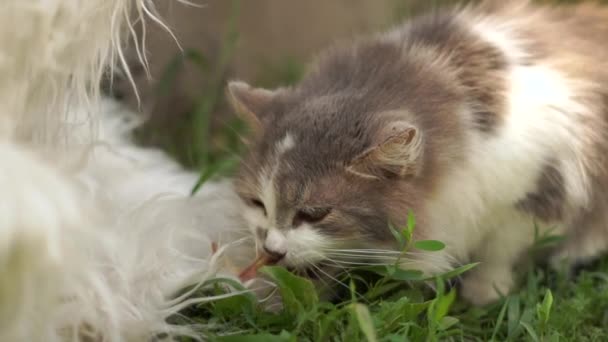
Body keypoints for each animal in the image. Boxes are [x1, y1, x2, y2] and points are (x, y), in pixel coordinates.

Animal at [226, 0, 608, 304]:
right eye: (257, 203)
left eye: (314, 213)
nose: (271, 250)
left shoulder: (537, 188)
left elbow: (501, 249)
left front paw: (485, 294)